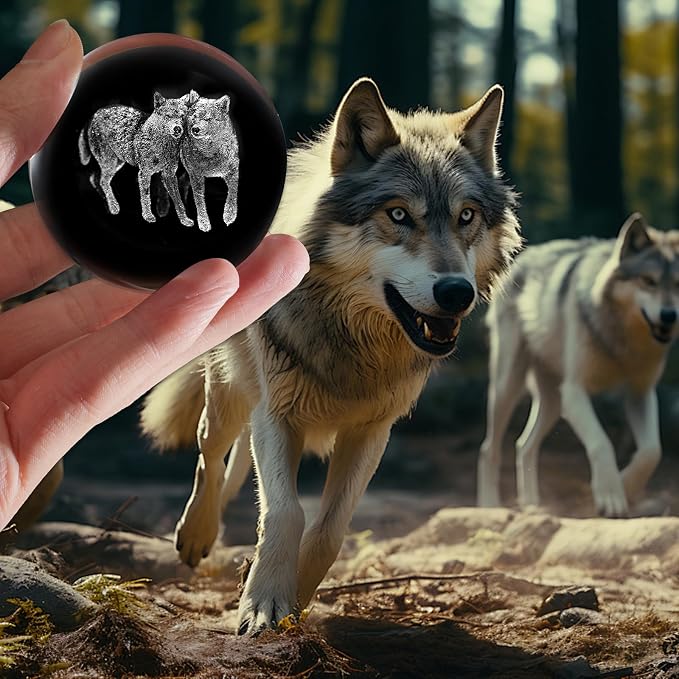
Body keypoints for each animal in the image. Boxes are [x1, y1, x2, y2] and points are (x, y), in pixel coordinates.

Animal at [78, 92, 193, 226]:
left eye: (182, 117)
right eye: (168, 116)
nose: (177, 129)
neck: (163, 146)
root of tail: (95, 114)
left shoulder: (169, 175)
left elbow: (179, 201)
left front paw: (184, 220)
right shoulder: (144, 174)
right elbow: (146, 197)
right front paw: (148, 217)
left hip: (116, 164)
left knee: (95, 178)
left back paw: (109, 203)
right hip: (110, 164)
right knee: (102, 181)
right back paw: (113, 206)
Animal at [180, 91, 239, 232]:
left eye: (208, 118)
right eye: (194, 117)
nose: (195, 129)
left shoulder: (233, 169)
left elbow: (232, 191)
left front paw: (229, 215)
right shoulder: (196, 176)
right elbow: (199, 200)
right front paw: (204, 223)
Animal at [477, 213, 679, 517]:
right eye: (648, 281)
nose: (669, 316)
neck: (621, 342)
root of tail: (523, 255)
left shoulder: (640, 393)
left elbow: (651, 451)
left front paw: (625, 485)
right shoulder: (575, 391)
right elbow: (601, 442)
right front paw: (610, 496)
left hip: (552, 402)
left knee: (524, 444)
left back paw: (533, 506)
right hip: (508, 388)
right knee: (489, 448)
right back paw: (490, 506)